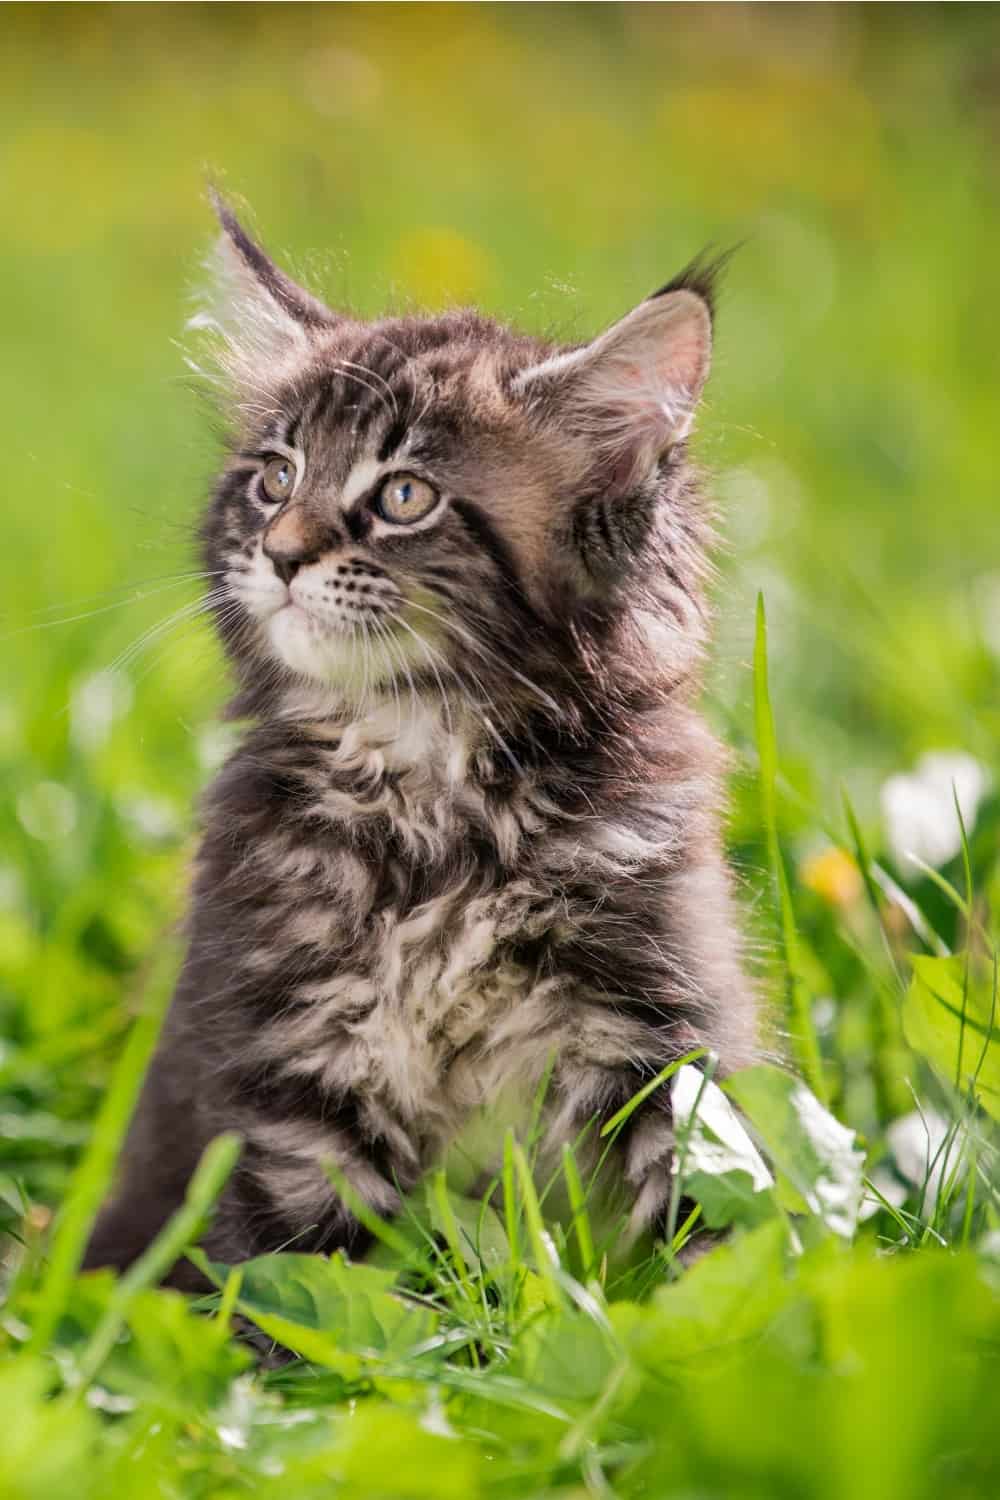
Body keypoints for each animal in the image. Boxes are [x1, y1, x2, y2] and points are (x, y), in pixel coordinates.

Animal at [83, 193, 758, 1284]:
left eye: (404, 495)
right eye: (275, 478)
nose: (278, 553)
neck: (430, 779)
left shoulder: (664, 1031)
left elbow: (721, 1236)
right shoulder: (291, 1072)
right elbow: (296, 1289)